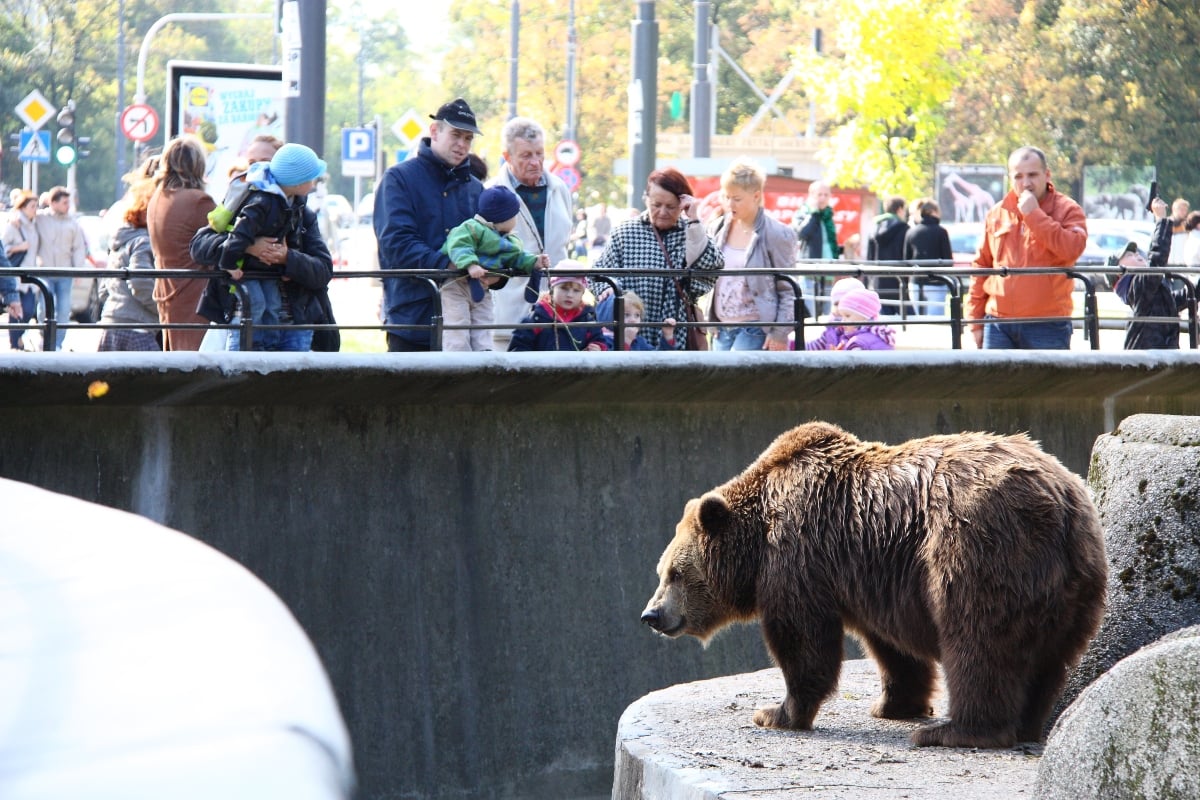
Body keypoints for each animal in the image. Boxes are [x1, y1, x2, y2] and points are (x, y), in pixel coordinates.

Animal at [640, 421, 1108, 748]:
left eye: (674, 573)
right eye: (661, 572)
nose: (651, 614)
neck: (756, 546)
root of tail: (1061, 502)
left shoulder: (799, 559)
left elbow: (802, 642)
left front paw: (775, 712)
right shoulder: (874, 577)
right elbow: (893, 650)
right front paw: (892, 705)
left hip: (978, 547)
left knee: (979, 640)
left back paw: (954, 731)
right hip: (1074, 584)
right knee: (1047, 659)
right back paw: (1026, 722)